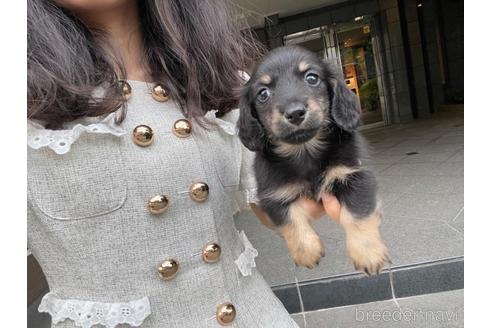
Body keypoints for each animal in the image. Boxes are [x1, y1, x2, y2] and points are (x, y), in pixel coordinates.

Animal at [236, 44, 390, 274]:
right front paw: (307, 251)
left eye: (311, 78)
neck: (304, 151)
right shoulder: (272, 194)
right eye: (263, 93)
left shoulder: (354, 175)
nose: (295, 113)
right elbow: (289, 217)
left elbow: (357, 212)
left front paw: (368, 253)